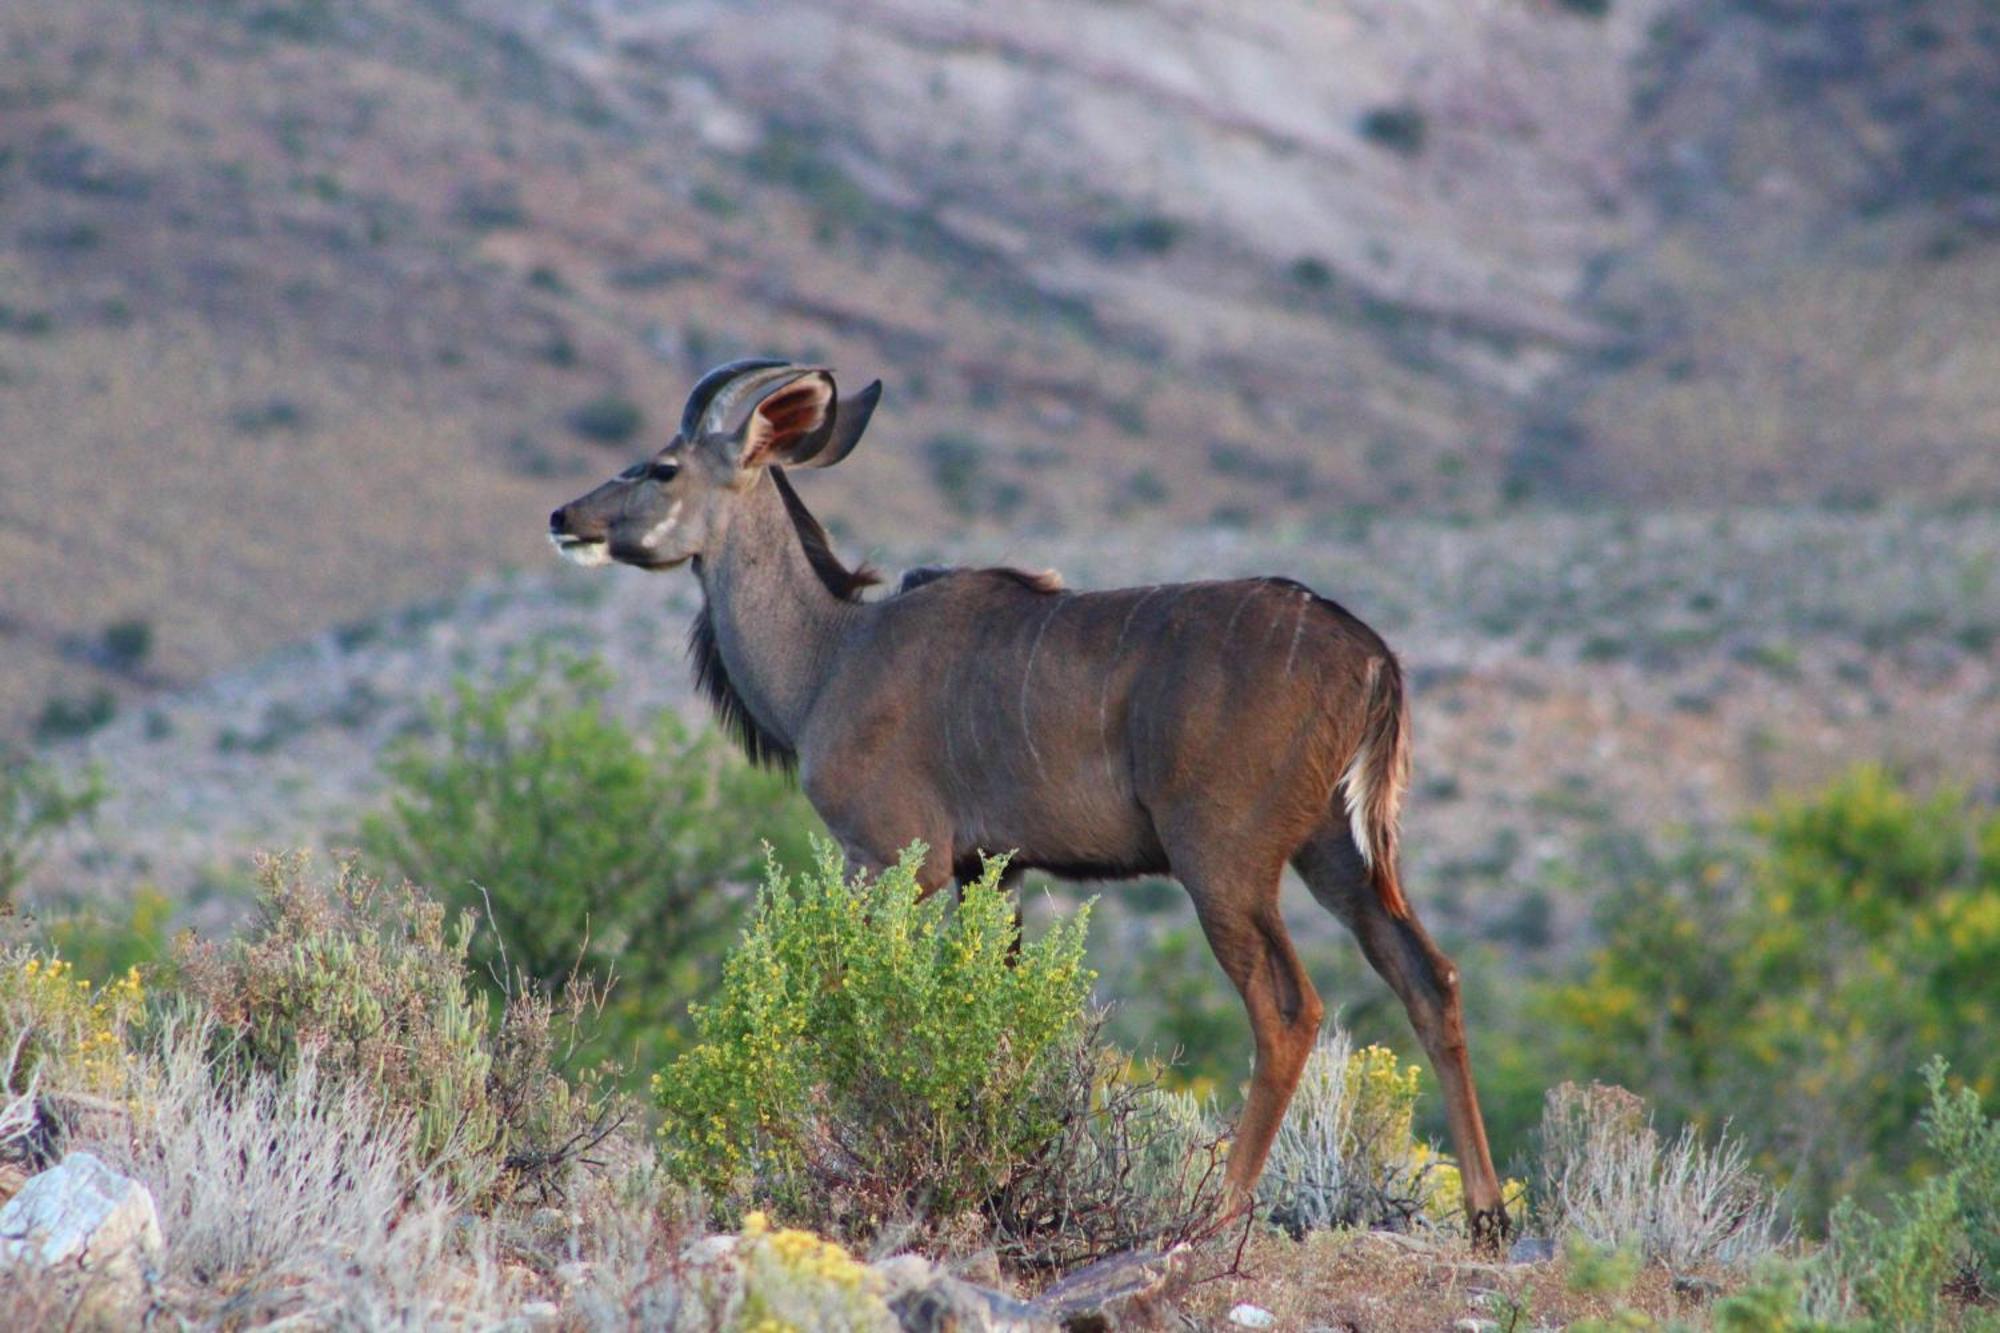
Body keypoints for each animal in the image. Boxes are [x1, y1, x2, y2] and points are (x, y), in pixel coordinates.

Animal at [556, 358, 1504, 1240]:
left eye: (661, 466)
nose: (565, 518)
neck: (831, 656)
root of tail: (1371, 655)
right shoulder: (992, 871)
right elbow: (1003, 1018)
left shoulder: (892, 857)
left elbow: (847, 993)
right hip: (1333, 852)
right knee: (1431, 977)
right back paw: (1488, 1217)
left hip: (1224, 860)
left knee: (1288, 1008)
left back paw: (1217, 1210)